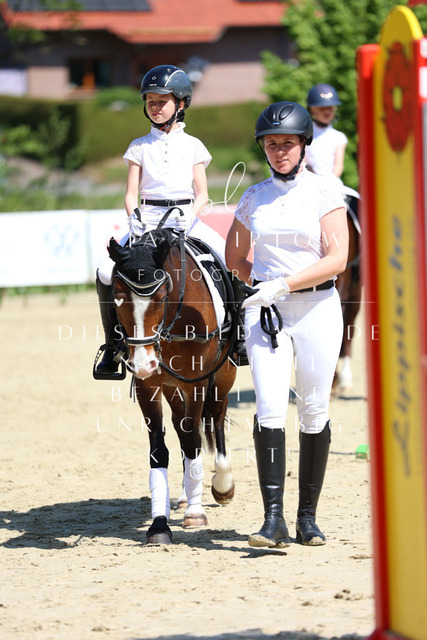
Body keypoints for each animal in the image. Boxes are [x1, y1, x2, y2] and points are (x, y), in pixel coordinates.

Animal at [107, 226, 238, 545]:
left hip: (223, 376)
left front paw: (196, 513)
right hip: (171, 386)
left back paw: (221, 485)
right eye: (117, 297)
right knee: (181, 427)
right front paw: (159, 523)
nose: (144, 363)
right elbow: (160, 450)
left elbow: (193, 443)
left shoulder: (198, 382)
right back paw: (184, 494)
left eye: (162, 296)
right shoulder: (149, 386)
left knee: (215, 420)